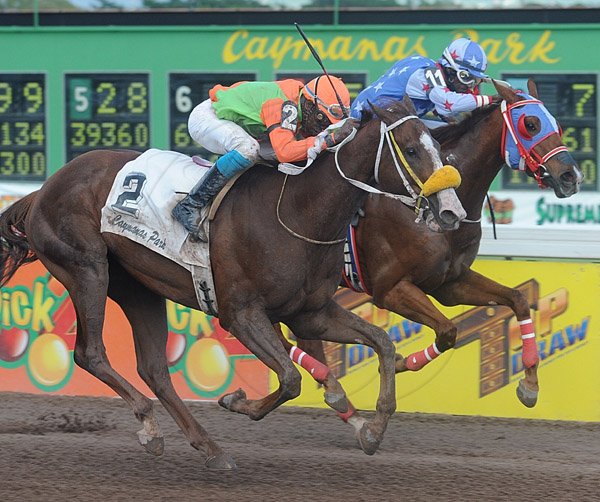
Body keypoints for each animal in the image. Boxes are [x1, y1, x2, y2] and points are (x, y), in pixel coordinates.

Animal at [0, 97, 464, 470]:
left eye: (439, 146)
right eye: (410, 150)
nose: (451, 212)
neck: (298, 212)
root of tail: (42, 189)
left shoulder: (310, 313)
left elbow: (382, 343)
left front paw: (374, 428)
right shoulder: (240, 314)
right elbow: (290, 379)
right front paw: (236, 401)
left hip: (138, 287)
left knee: (153, 368)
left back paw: (208, 447)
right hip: (87, 268)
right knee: (91, 353)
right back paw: (150, 426)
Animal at [282, 78, 580, 424]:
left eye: (558, 125)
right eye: (530, 124)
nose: (571, 176)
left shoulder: (450, 282)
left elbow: (516, 300)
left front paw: (529, 385)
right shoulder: (390, 289)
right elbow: (448, 330)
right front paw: (399, 362)